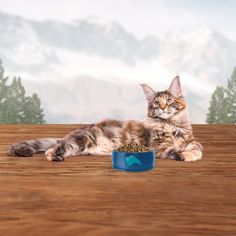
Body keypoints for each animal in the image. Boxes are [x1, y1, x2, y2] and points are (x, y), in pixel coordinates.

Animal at [7, 76, 203, 161]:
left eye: (169, 101)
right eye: (156, 103)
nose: (162, 107)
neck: (171, 126)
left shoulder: (191, 139)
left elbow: (197, 147)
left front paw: (191, 153)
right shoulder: (160, 146)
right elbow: (175, 150)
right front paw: (186, 155)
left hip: (82, 146)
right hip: (83, 139)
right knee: (54, 148)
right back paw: (54, 155)